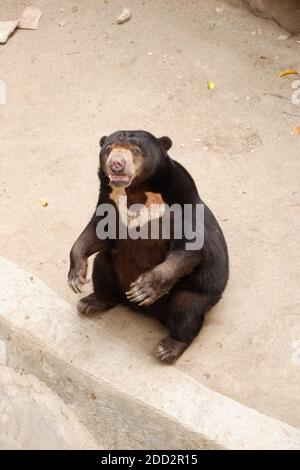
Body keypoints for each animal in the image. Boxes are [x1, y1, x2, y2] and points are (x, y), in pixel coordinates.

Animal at [68, 129, 229, 364]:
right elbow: (97, 230)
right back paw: (90, 302)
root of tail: (147, 312)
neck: (135, 190)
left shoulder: (181, 205)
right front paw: (76, 276)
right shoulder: (108, 200)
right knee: (102, 269)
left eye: (135, 151)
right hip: (111, 266)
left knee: (185, 311)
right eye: (109, 149)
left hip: (199, 290)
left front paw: (143, 289)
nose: (116, 164)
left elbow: (187, 249)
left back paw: (168, 347)